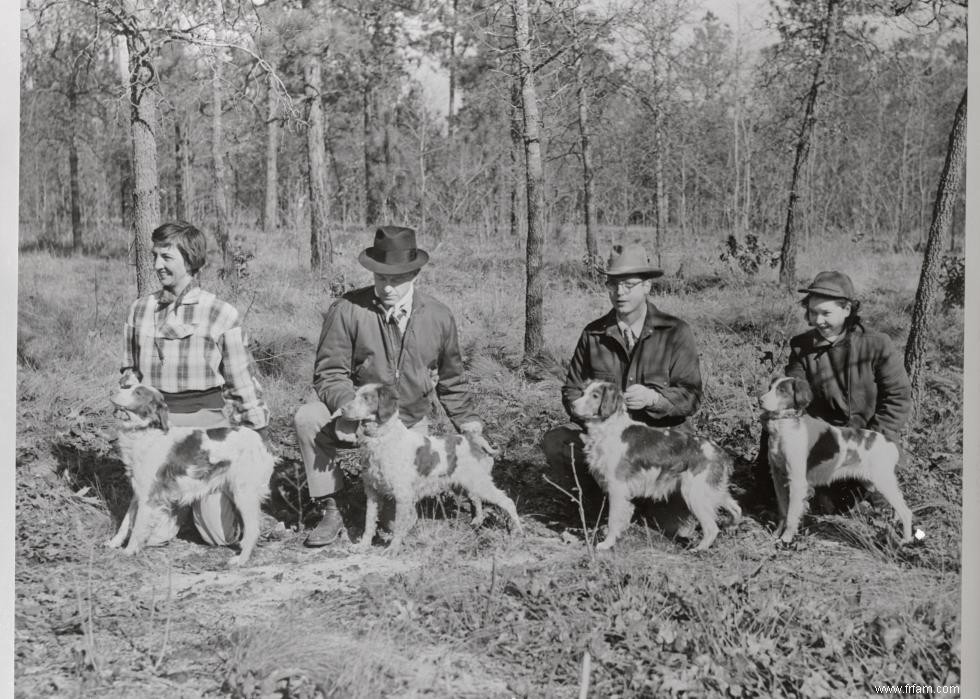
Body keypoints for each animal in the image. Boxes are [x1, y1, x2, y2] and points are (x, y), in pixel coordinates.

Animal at [106, 380, 276, 568]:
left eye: (138, 393)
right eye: (127, 386)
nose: (112, 390)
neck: (144, 433)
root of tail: (262, 442)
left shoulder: (148, 497)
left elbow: (136, 528)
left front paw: (128, 552)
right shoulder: (139, 492)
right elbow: (126, 522)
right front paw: (113, 543)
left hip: (244, 493)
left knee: (253, 529)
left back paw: (241, 559)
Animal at [340, 382, 524, 552]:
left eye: (366, 398)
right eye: (355, 395)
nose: (342, 409)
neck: (382, 438)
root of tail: (473, 441)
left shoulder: (402, 495)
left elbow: (398, 525)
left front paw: (393, 549)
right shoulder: (372, 491)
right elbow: (369, 522)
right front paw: (363, 546)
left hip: (481, 483)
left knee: (507, 502)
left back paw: (517, 531)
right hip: (465, 484)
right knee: (476, 499)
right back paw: (477, 520)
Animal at [572, 382, 740, 552]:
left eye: (595, 395)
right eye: (583, 393)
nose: (572, 405)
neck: (609, 428)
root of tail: (719, 452)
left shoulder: (617, 486)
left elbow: (613, 520)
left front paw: (607, 543)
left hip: (695, 493)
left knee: (712, 528)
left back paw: (698, 549)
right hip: (712, 490)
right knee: (736, 509)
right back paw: (731, 526)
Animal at [760, 378, 916, 548]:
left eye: (782, 390)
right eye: (770, 387)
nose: (760, 400)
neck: (784, 427)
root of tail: (890, 444)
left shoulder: (797, 481)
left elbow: (791, 515)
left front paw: (786, 539)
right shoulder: (778, 477)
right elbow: (783, 510)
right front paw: (776, 535)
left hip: (883, 483)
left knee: (906, 511)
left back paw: (906, 541)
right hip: (876, 484)